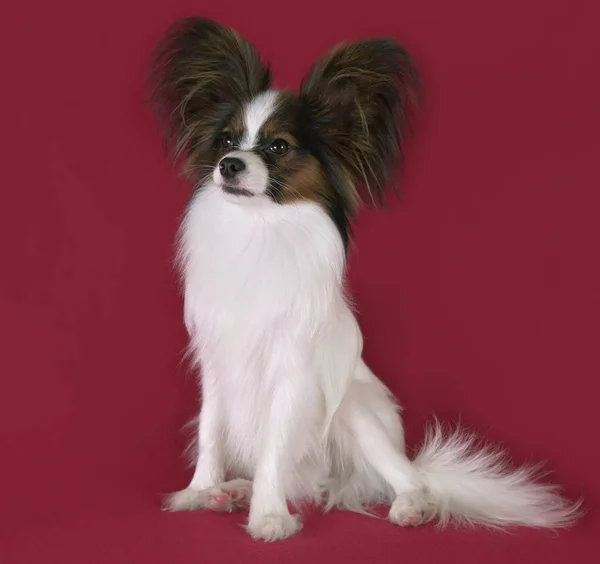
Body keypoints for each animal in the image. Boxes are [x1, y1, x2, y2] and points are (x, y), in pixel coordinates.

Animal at [149, 16, 580, 536]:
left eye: (278, 146)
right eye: (227, 141)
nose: (229, 166)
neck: (260, 227)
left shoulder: (292, 372)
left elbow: (274, 447)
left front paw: (270, 518)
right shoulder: (216, 363)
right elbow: (211, 429)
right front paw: (200, 490)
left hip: (355, 411)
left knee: (406, 479)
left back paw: (410, 505)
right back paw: (232, 490)